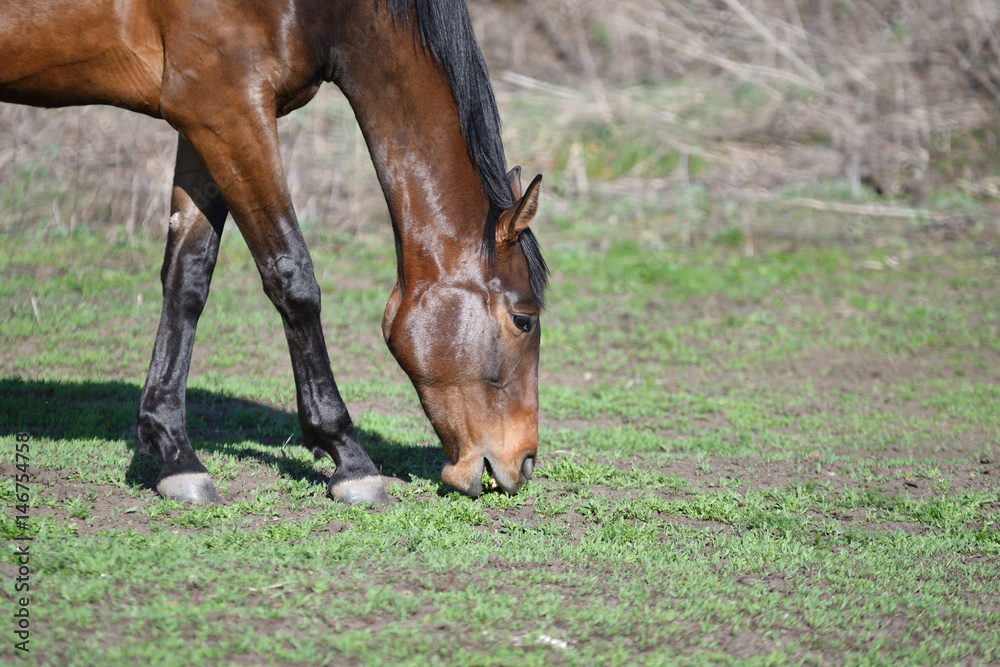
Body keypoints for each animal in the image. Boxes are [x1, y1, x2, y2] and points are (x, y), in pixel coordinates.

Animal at [0, 0, 548, 505]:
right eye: (524, 319)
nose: (524, 463)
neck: (328, 13)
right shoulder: (228, 106)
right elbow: (293, 278)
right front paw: (350, 460)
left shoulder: (200, 116)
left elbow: (188, 277)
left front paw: (175, 453)